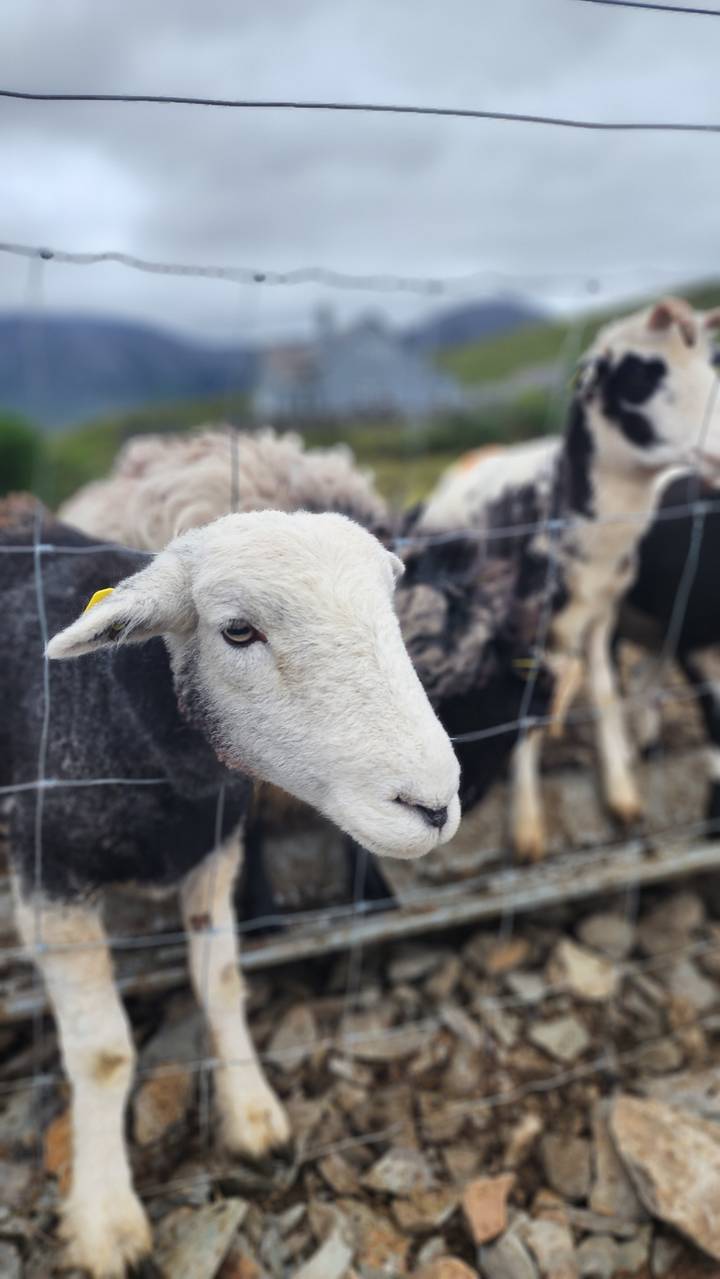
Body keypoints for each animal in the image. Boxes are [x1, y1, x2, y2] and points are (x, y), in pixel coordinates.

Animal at [5, 496, 460, 1278]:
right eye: (238, 630)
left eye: (390, 607)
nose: (432, 807)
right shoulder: (50, 875)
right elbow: (103, 1053)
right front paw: (106, 1218)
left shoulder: (215, 850)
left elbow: (220, 983)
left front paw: (251, 1115)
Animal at [417, 296, 720, 861]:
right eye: (640, 378)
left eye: (712, 363)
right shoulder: (522, 628)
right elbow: (519, 717)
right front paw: (525, 829)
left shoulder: (603, 616)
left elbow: (603, 695)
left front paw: (621, 793)